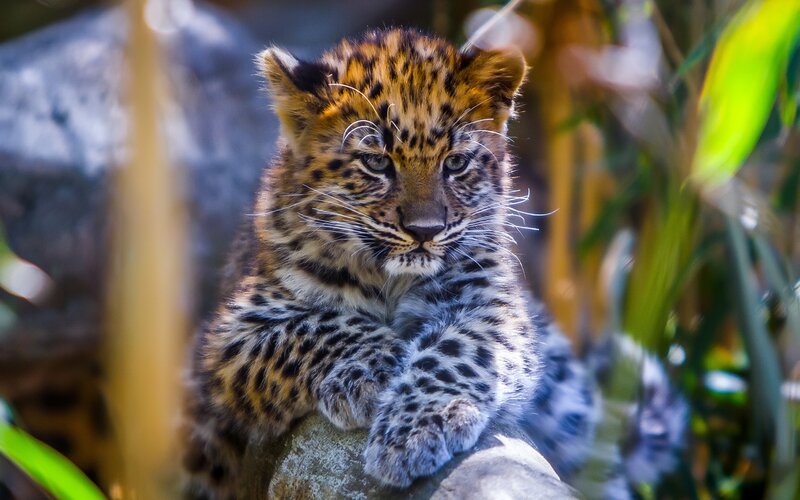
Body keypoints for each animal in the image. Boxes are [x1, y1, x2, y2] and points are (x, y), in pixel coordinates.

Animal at [182, 27, 686, 499]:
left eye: (456, 163)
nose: (425, 231)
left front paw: (418, 427)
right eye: (376, 163)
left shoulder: (490, 306)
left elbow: (457, 352)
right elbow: (312, 327)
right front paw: (377, 366)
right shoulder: (230, 336)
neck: (390, 278)